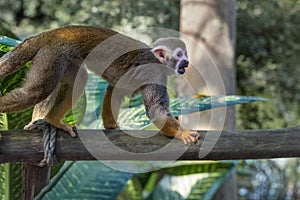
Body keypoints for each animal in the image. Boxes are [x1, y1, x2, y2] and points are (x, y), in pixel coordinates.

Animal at [0, 25, 199, 144]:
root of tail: (54, 32)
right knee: (36, 92)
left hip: (62, 57)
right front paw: (183, 133)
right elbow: (155, 109)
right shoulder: (155, 74)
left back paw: (53, 119)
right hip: (53, 53)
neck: (158, 60)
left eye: (185, 55)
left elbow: (116, 88)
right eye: (180, 55)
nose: (187, 62)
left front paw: (111, 125)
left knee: (79, 79)